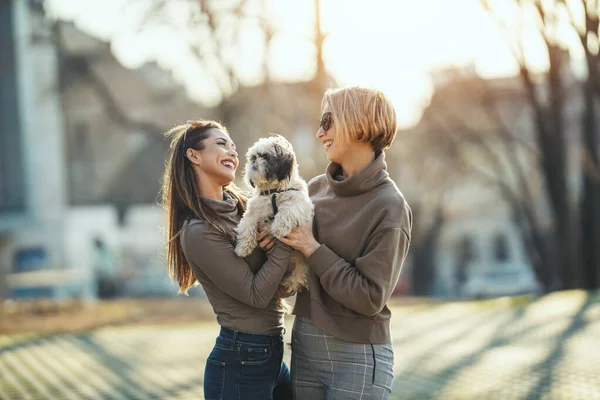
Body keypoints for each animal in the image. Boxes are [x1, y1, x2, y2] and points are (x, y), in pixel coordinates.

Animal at [233, 134, 312, 296]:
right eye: (253, 157)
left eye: (265, 156)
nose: (254, 161)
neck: (273, 192)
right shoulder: (252, 211)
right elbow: (247, 227)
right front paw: (243, 248)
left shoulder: (300, 204)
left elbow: (287, 210)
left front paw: (278, 227)